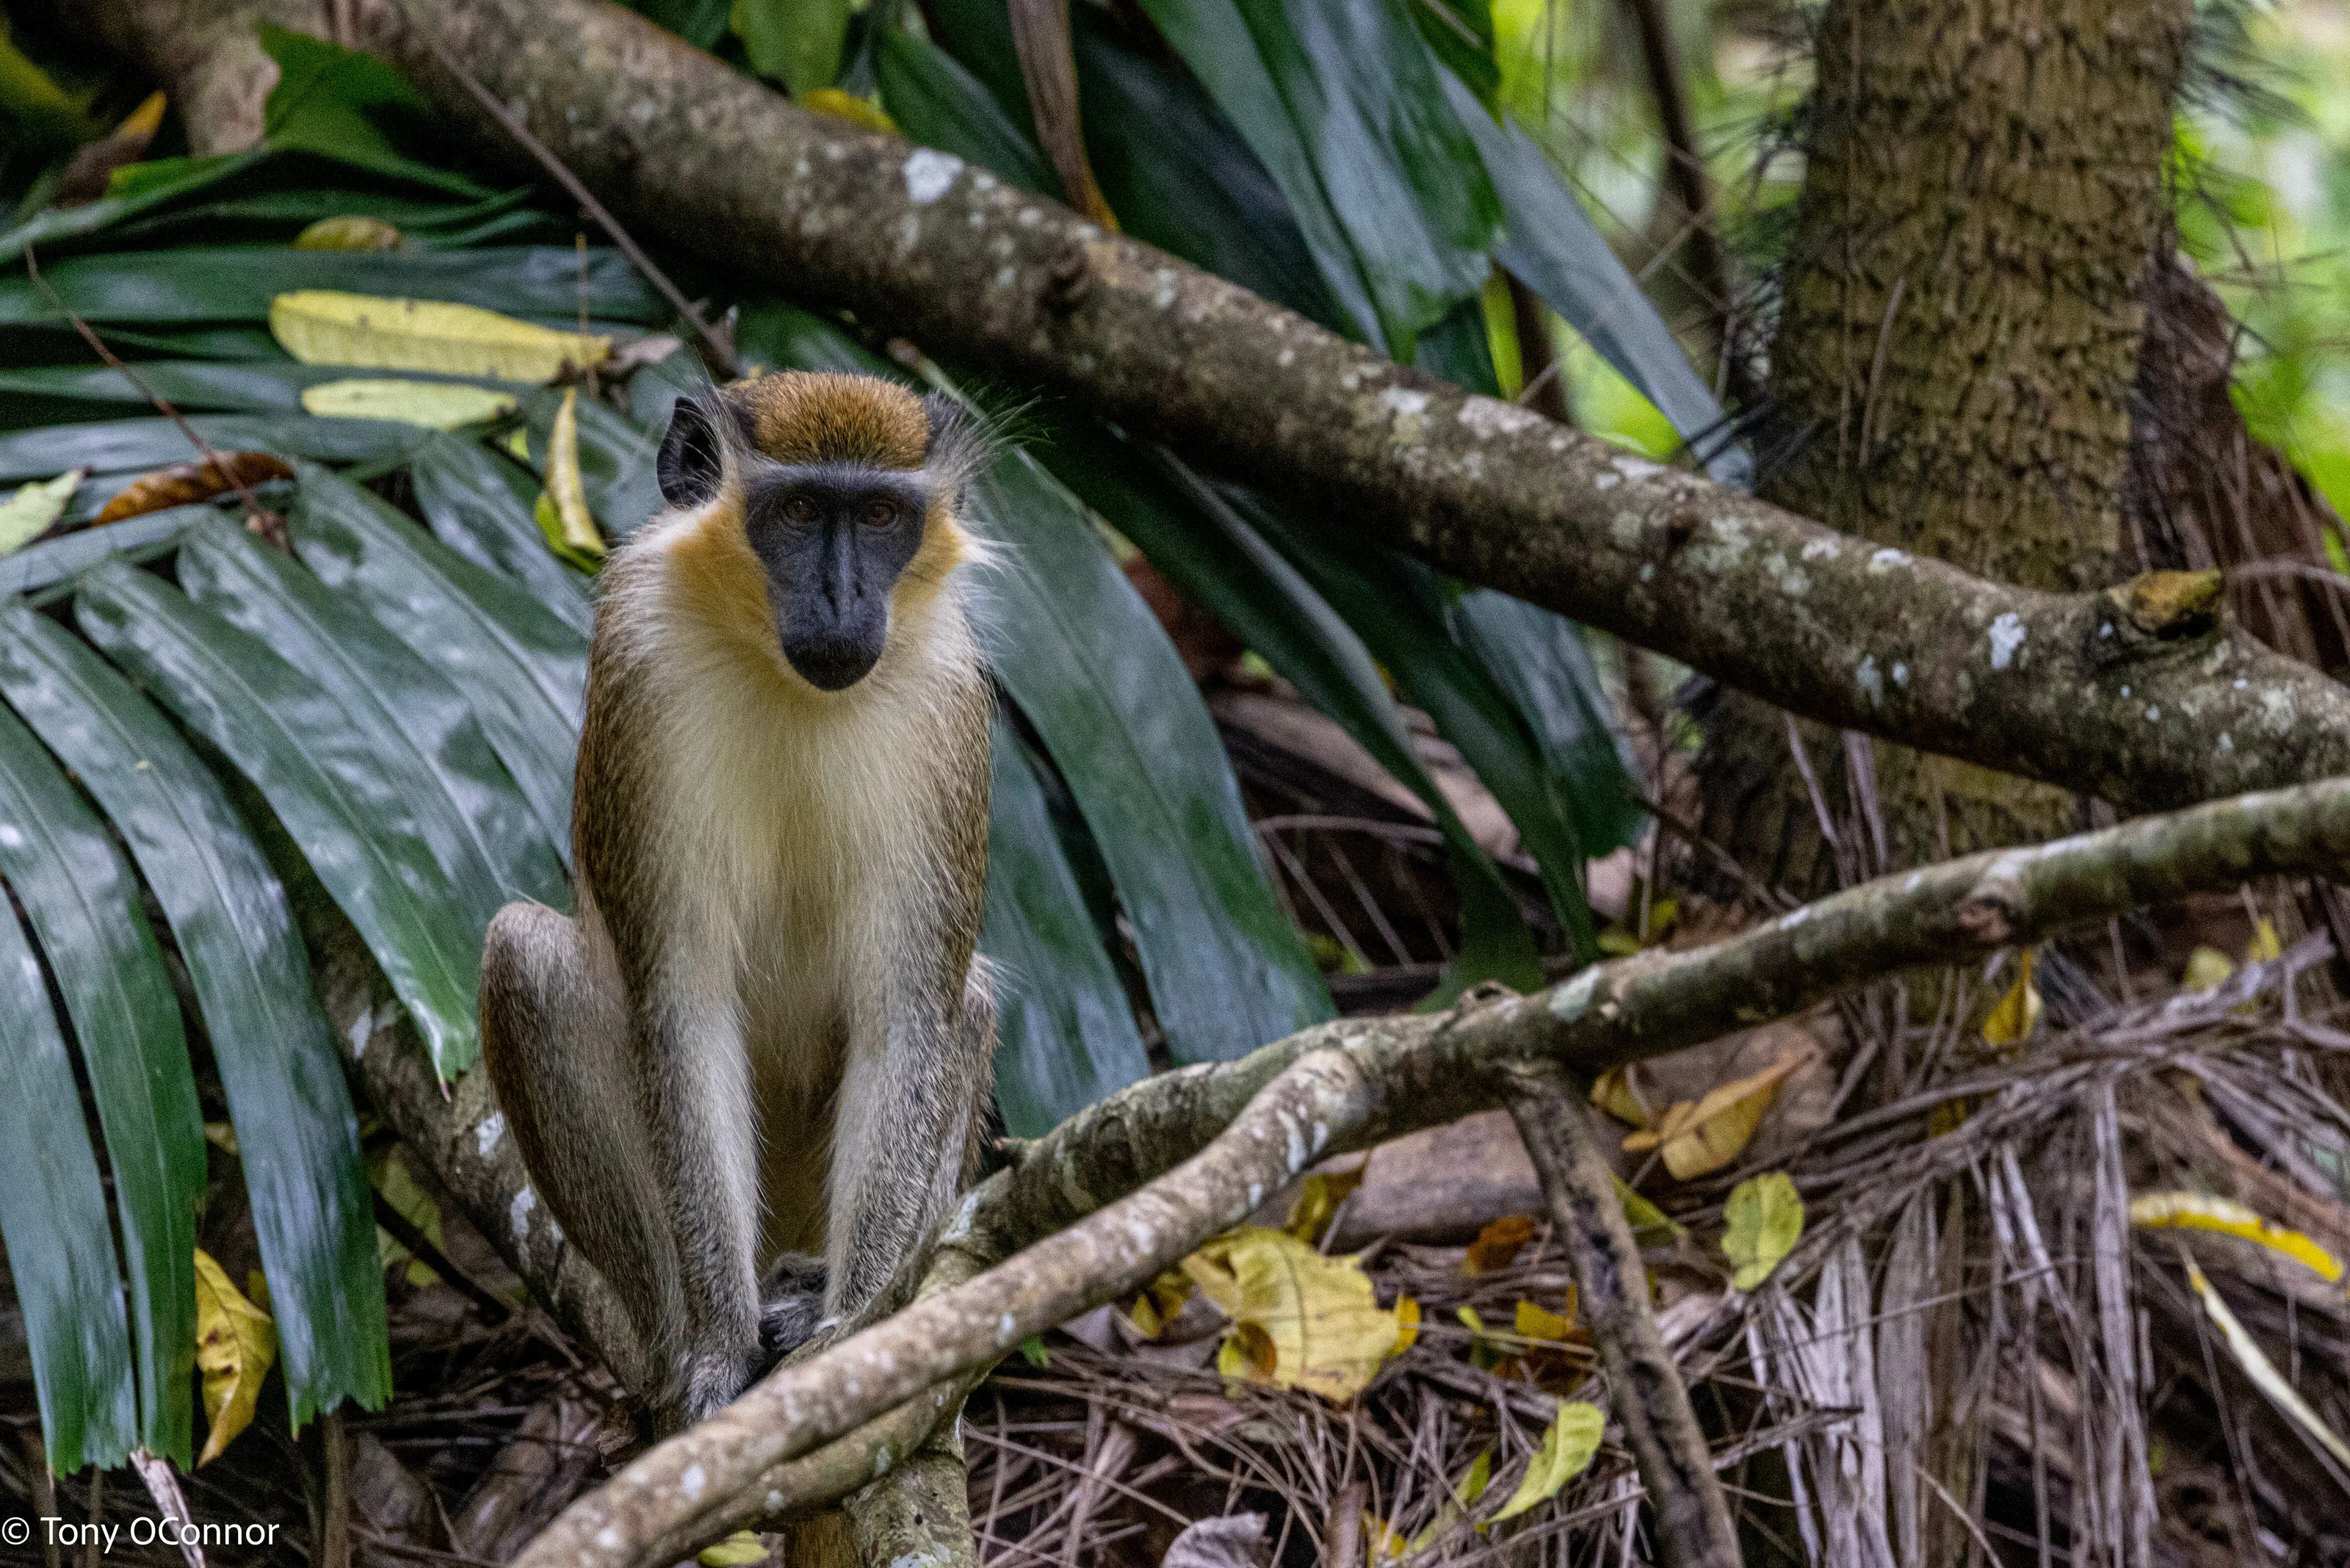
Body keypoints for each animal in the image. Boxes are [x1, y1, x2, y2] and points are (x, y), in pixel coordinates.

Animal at [478, 369, 999, 1433]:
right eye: (798, 511)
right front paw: (718, 1345)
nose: (843, 597)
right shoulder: (641, 669)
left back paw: (808, 1295)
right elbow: (681, 1008)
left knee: (963, 1006)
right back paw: (680, 1339)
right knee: (523, 956)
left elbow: (908, 1017)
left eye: (879, 516)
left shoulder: (950, 703)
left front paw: (849, 1333)